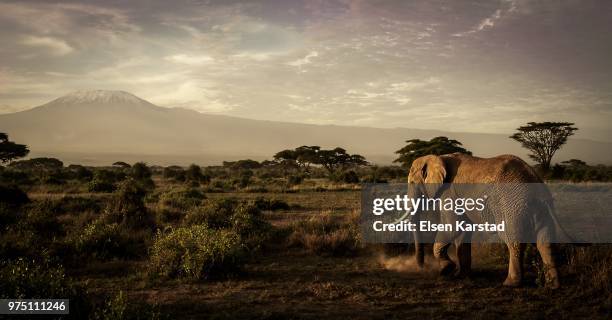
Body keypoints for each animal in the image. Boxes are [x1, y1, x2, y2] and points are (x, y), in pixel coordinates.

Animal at [408, 152, 560, 288]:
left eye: (412, 183)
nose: (422, 267)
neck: (437, 157)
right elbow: (463, 232)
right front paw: (460, 276)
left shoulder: (448, 193)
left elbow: (452, 227)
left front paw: (446, 269)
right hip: (539, 209)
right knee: (545, 241)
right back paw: (553, 286)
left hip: (512, 206)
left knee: (514, 241)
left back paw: (510, 284)